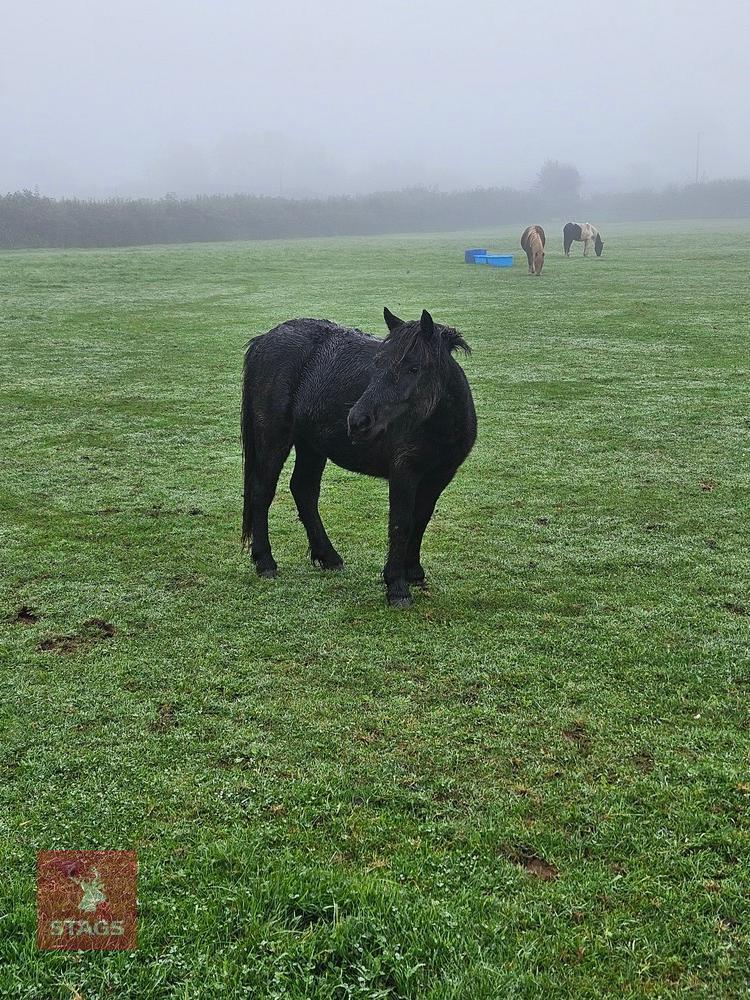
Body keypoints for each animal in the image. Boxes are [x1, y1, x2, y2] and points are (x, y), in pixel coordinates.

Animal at [241, 308, 477, 608]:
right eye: (377, 364)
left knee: (304, 490)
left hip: (311, 445)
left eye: (414, 368)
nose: (357, 421)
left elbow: (421, 520)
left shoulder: (438, 476)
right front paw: (396, 586)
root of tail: (263, 340)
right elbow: (401, 524)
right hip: (274, 440)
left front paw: (414, 572)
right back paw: (265, 562)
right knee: (262, 492)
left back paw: (329, 557)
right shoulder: (404, 473)